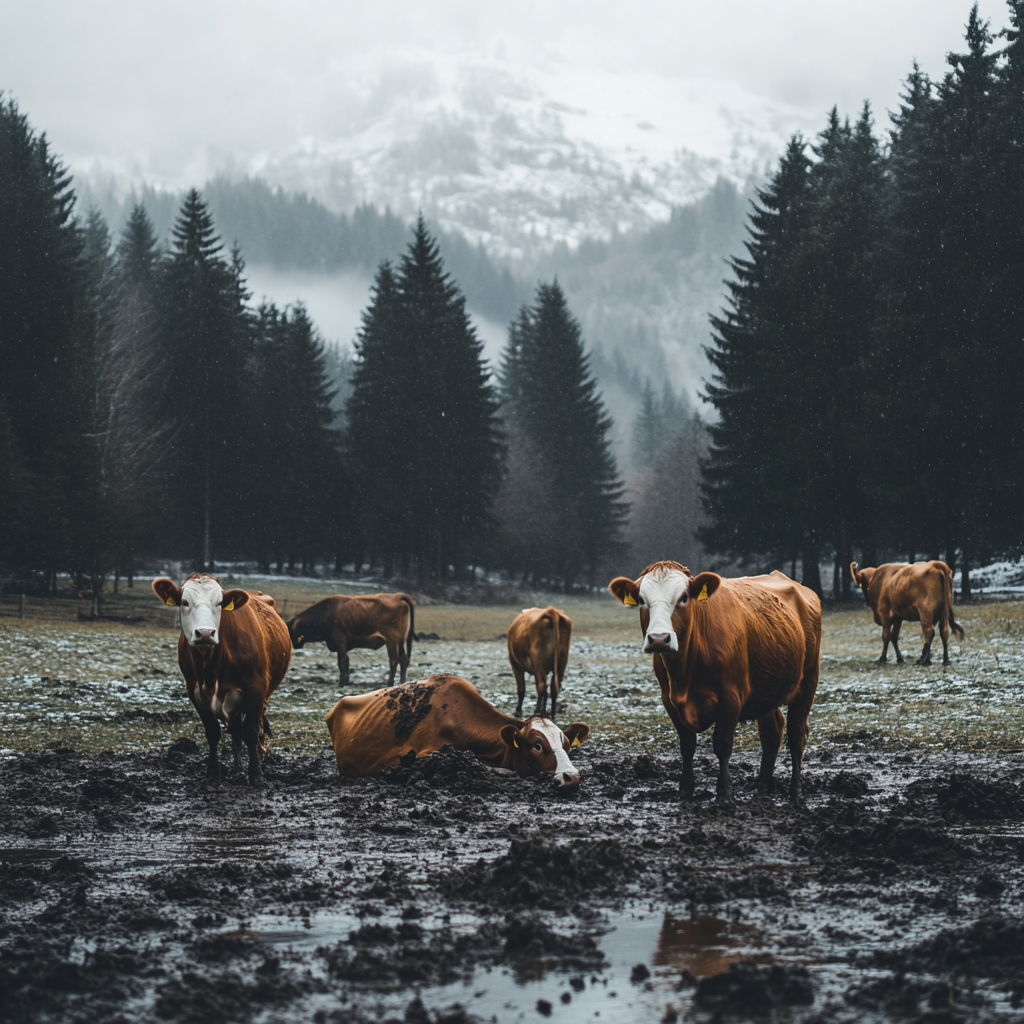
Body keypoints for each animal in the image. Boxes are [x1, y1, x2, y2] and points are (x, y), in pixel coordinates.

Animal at [151, 577, 290, 782]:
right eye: (184, 602)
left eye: (219, 603)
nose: (205, 633)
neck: (211, 666)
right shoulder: (195, 693)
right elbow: (213, 732)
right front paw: (213, 771)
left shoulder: (256, 689)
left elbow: (250, 731)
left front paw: (256, 774)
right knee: (235, 729)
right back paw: (237, 768)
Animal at [284, 593, 415, 688]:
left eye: (289, 632)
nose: (294, 645)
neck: (326, 613)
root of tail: (398, 596)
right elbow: (344, 662)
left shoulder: (340, 641)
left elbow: (342, 662)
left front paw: (342, 683)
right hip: (401, 641)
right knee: (404, 659)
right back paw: (402, 682)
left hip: (391, 640)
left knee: (394, 659)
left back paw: (389, 683)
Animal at [606, 565, 823, 802]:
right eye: (642, 600)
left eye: (684, 597)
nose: (659, 639)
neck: (684, 674)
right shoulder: (669, 700)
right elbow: (687, 744)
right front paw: (685, 790)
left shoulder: (731, 697)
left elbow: (722, 744)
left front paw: (724, 793)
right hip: (766, 690)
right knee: (772, 731)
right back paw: (762, 786)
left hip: (808, 681)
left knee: (797, 734)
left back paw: (796, 791)